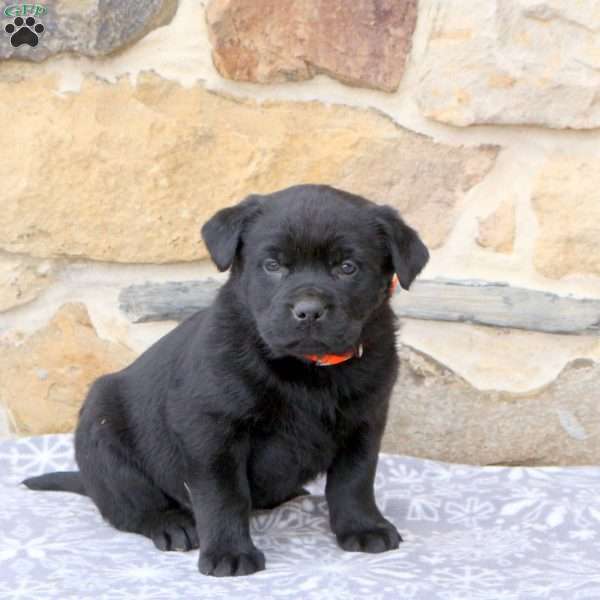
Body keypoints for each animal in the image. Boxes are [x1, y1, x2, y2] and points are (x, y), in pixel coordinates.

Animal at [23, 184, 426, 576]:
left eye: (347, 267)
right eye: (273, 265)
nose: (308, 311)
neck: (305, 369)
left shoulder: (366, 421)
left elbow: (355, 480)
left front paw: (363, 527)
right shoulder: (212, 430)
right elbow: (224, 495)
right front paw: (229, 553)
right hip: (102, 433)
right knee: (129, 506)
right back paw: (171, 524)